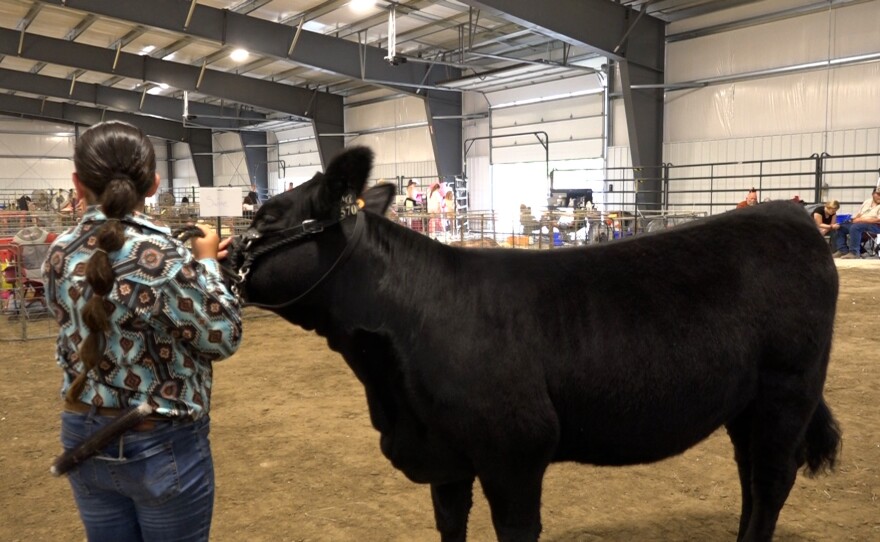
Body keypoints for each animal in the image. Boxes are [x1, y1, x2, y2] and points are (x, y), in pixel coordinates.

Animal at [227, 147, 841, 542]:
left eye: (267, 216)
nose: (224, 253)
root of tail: (792, 215)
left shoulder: (515, 452)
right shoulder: (446, 457)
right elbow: (450, 525)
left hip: (787, 391)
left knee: (771, 481)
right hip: (747, 404)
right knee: (750, 478)